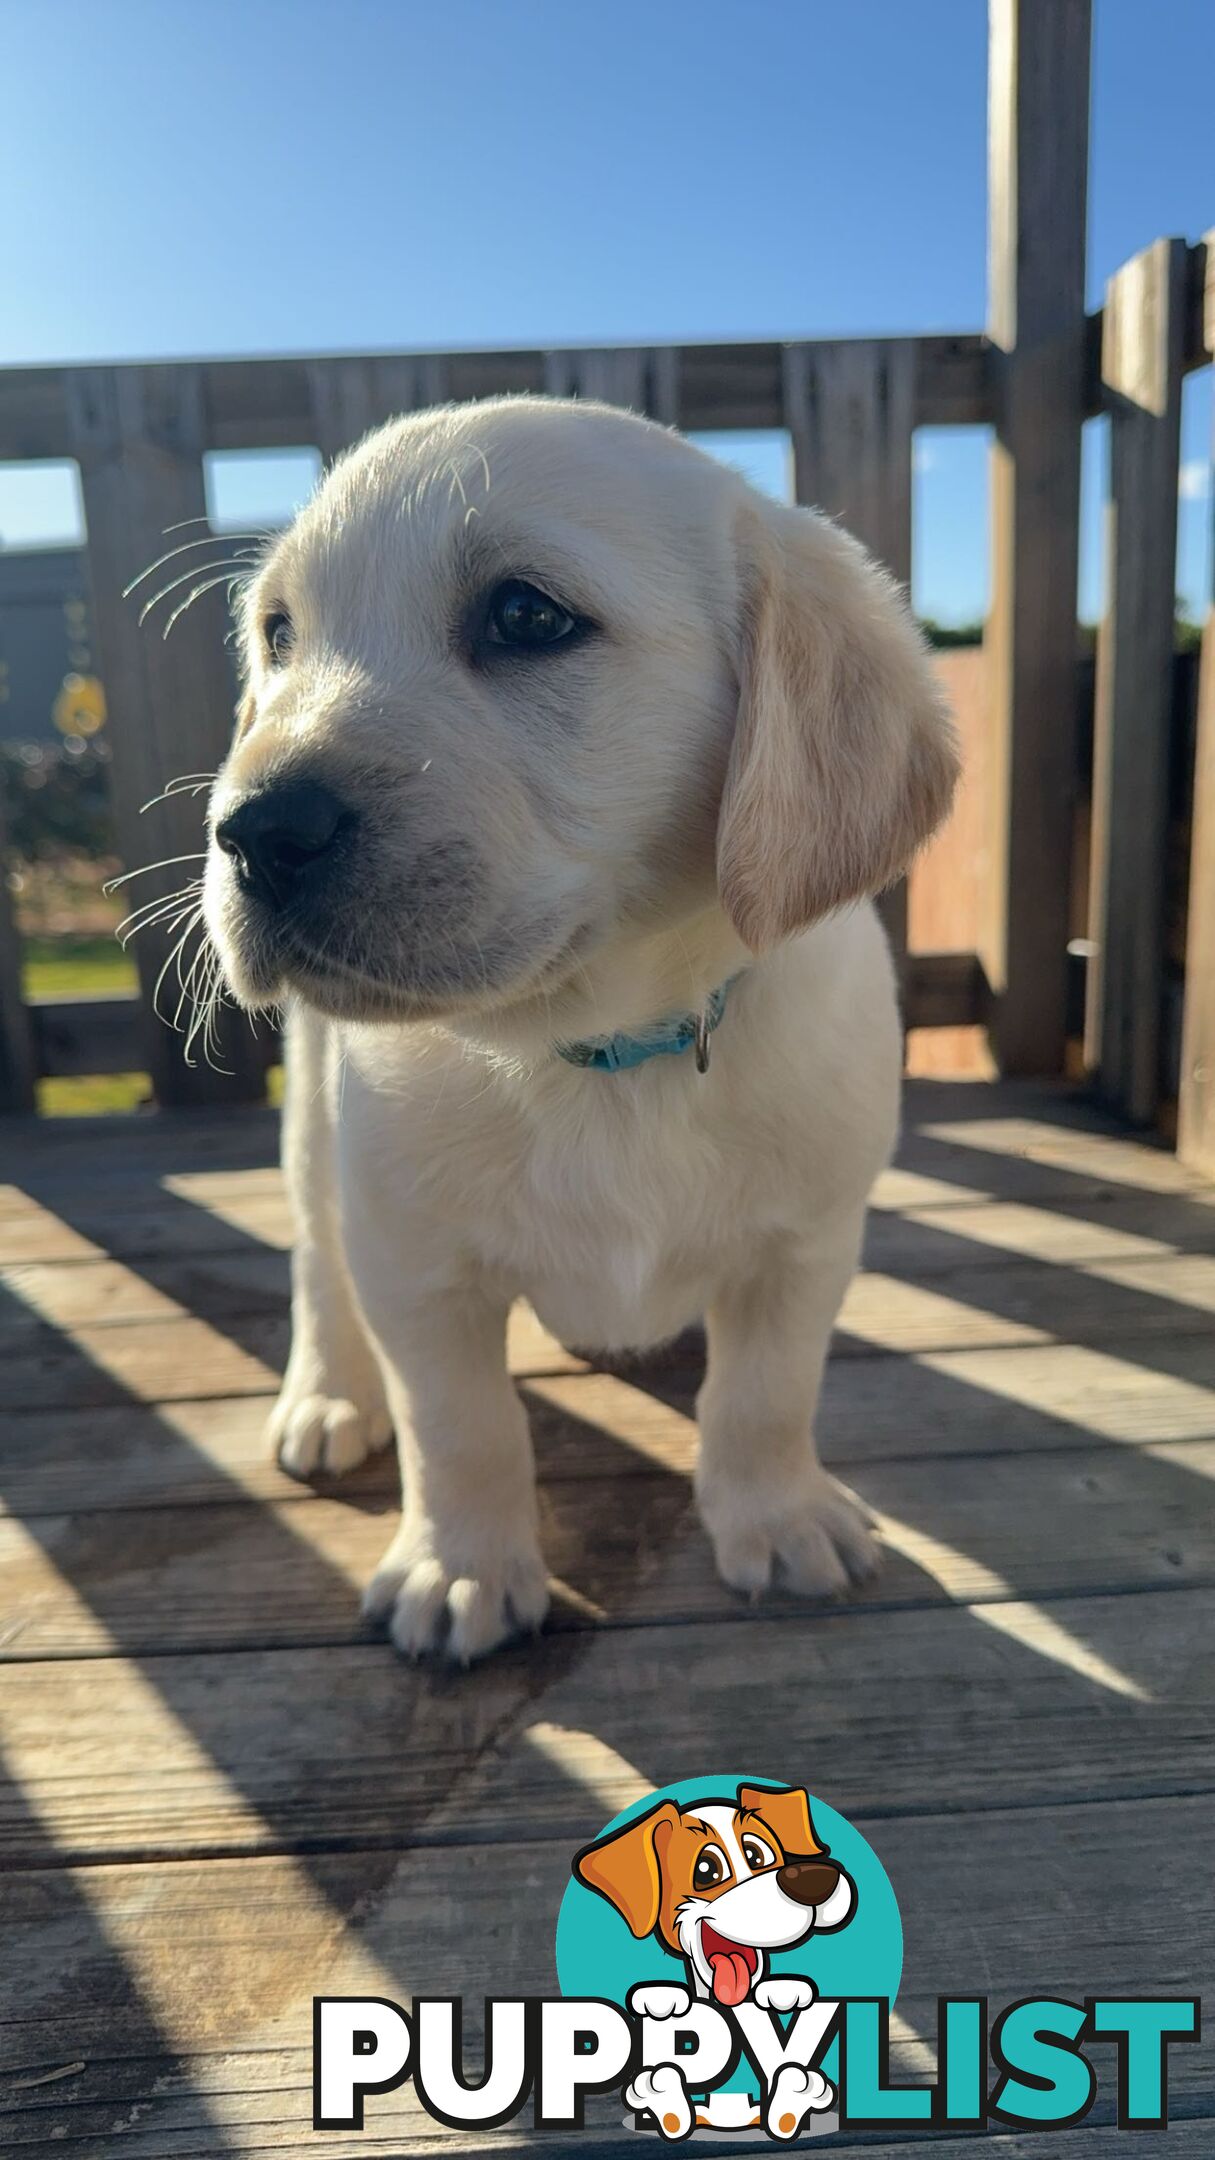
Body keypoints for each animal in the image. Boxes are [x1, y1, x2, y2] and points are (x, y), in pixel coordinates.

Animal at [201, 397, 955, 1658]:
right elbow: (461, 1427)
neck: (602, 1047)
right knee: (316, 1259)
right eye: (279, 636)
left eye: (525, 616)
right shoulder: (418, 1265)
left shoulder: (808, 1240)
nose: (253, 831)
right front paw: (460, 1569)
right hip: (314, 1121)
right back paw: (329, 1396)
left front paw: (779, 1517)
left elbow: (765, 1395)